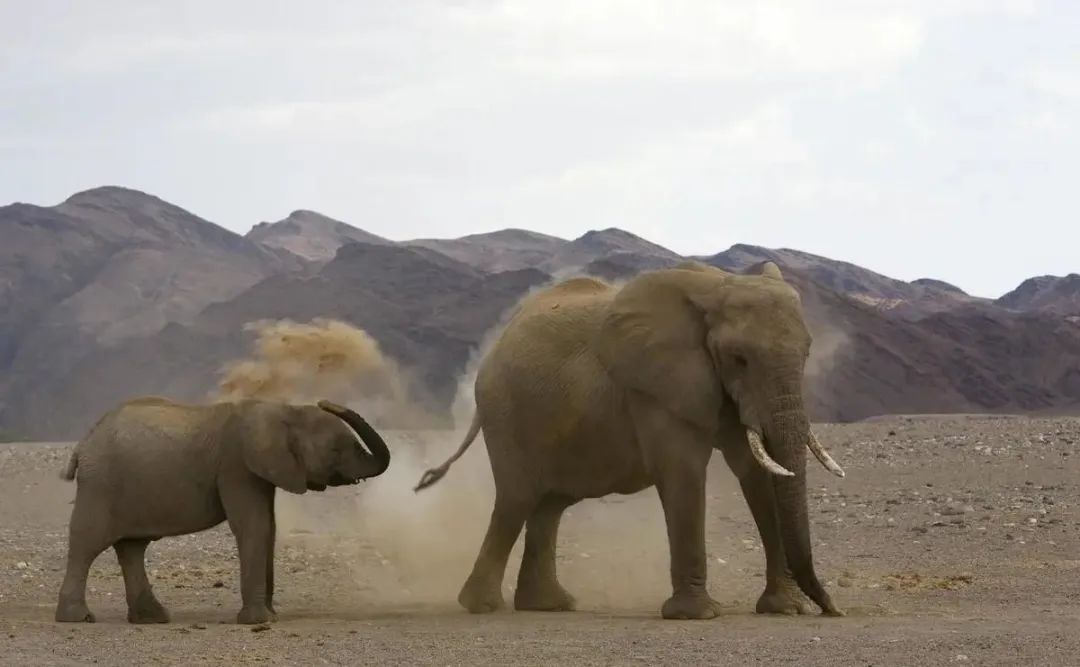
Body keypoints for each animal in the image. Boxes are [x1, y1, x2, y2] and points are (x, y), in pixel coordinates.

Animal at [53, 395, 393, 621]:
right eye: (336, 449)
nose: (325, 401)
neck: (281, 410)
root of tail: (83, 443)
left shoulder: (259, 470)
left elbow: (268, 528)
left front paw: (269, 616)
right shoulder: (236, 466)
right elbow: (253, 526)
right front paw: (259, 621)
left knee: (132, 547)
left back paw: (153, 618)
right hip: (100, 485)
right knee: (88, 543)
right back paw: (78, 618)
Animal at [416, 261, 846, 617]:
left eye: (808, 353)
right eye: (739, 358)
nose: (832, 610)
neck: (717, 286)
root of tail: (494, 347)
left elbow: (755, 472)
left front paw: (785, 610)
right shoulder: (654, 385)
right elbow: (683, 471)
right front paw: (696, 615)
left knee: (549, 505)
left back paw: (548, 605)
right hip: (506, 412)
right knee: (516, 501)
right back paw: (481, 606)